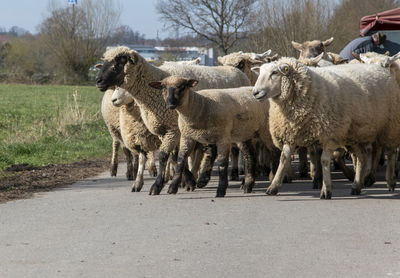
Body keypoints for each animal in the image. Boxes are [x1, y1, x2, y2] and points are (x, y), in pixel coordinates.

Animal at [95, 45, 250, 195]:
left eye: (119, 61)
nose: (98, 81)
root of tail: (235, 70)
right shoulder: (163, 130)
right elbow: (173, 157)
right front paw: (185, 180)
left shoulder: (175, 129)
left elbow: (167, 156)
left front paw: (160, 185)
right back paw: (202, 178)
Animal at [253, 57, 400, 199]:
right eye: (260, 73)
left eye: (274, 73)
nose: (255, 93)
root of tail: (382, 69)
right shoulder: (292, 134)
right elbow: (284, 159)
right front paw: (273, 187)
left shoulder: (330, 135)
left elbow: (323, 160)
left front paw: (326, 190)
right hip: (353, 135)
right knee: (362, 157)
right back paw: (356, 186)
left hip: (390, 126)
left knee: (391, 153)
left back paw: (390, 181)